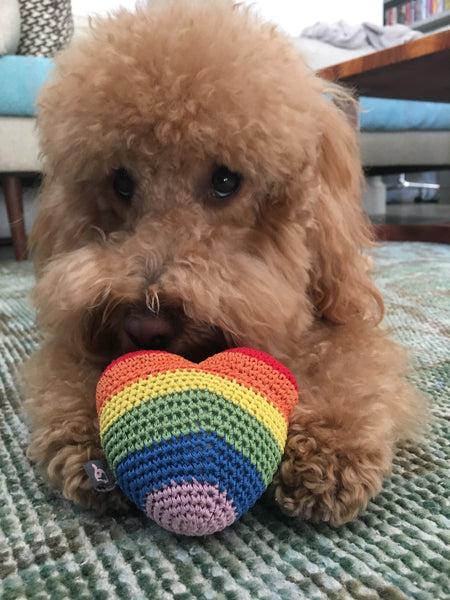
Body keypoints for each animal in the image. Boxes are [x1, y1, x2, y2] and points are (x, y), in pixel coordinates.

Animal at [23, 0, 426, 524]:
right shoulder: (74, 332)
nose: (146, 325)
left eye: (226, 180)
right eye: (121, 183)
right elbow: (65, 368)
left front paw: (329, 450)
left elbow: (350, 368)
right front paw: (86, 433)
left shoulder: (339, 323)